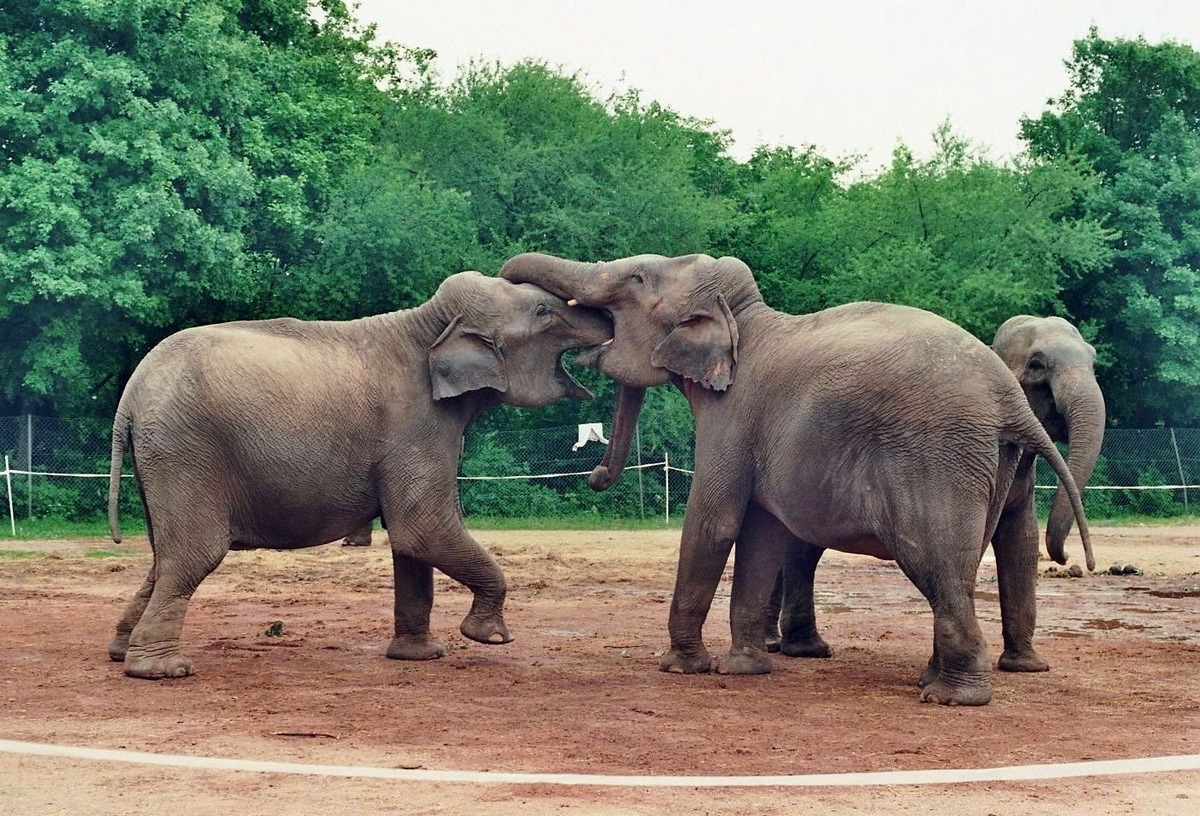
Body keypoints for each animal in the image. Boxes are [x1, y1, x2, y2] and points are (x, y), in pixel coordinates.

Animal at [105, 271, 609, 676]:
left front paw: (420, 656)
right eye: (544, 311)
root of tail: (130, 395)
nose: (609, 320)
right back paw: (163, 670)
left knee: (163, 558)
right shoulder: (416, 424)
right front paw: (489, 637)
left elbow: (411, 543)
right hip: (187, 451)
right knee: (194, 555)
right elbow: (423, 529)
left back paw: (120, 652)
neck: (428, 324)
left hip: (163, 458)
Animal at [768, 312, 1104, 676]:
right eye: (1037, 364)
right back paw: (789, 647)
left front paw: (1027, 667)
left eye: (1094, 361)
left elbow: (1021, 541)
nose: (1072, 559)